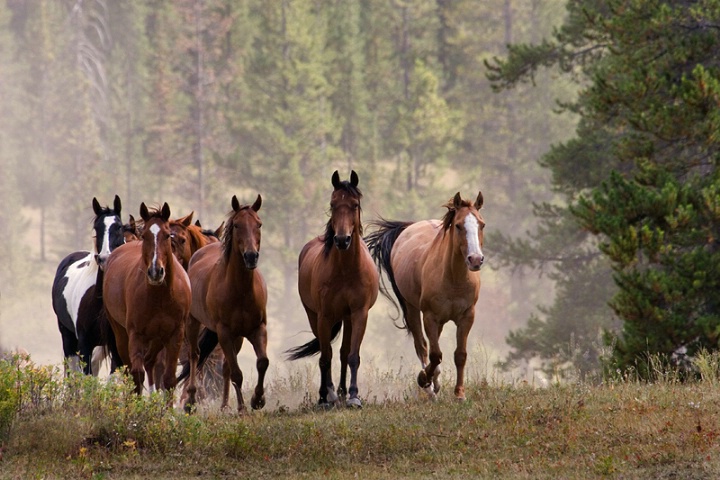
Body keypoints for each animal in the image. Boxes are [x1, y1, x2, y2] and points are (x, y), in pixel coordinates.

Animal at [53, 195, 134, 376]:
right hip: (68, 338)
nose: (104, 258)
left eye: (118, 226)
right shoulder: (85, 345)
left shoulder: (117, 345)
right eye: (96, 228)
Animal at [180, 195, 268, 412]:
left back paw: (227, 405)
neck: (240, 291)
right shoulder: (225, 332)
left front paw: (257, 400)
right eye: (237, 225)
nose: (251, 256)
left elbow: (262, 362)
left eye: (259, 224)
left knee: (227, 365)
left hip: (237, 337)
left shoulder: (257, 329)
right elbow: (237, 373)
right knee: (194, 356)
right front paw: (244, 408)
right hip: (194, 323)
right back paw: (191, 400)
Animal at [284, 171, 380, 406]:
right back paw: (325, 395)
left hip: (346, 317)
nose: (342, 240)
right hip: (314, 316)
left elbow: (352, 355)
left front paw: (353, 395)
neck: (346, 270)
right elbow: (325, 356)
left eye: (355, 204)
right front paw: (326, 396)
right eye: (332, 203)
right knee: (324, 352)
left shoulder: (359, 314)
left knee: (344, 352)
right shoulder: (324, 316)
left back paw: (343, 391)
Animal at [368, 191, 486, 402]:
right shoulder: (430, 316)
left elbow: (460, 354)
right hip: (413, 309)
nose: (475, 259)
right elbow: (435, 354)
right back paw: (430, 387)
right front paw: (424, 380)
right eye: (458, 225)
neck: (453, 279)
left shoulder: (467, 316)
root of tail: (410, 227)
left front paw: (459, 394)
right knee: (422, 346)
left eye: (482, 224)